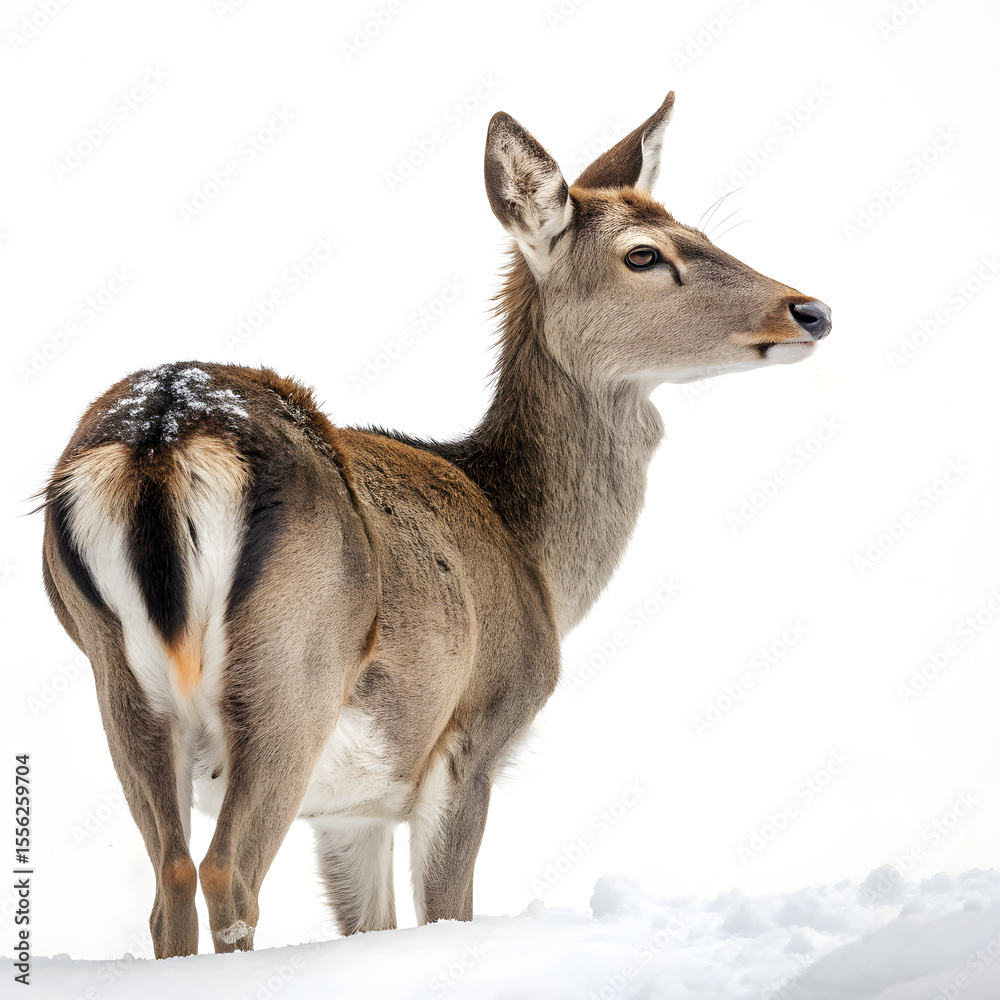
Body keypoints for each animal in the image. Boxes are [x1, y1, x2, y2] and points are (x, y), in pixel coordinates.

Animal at [40, 92, 831, 959]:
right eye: (645, 254)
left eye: (701, 229)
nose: (810, 310)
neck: (535, 561)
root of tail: (161, 439)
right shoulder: (473, 733)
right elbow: (446, 914)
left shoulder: (351, 810)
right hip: (292, 671)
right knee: (226, 873)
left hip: (118, 681)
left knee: (169, 887)